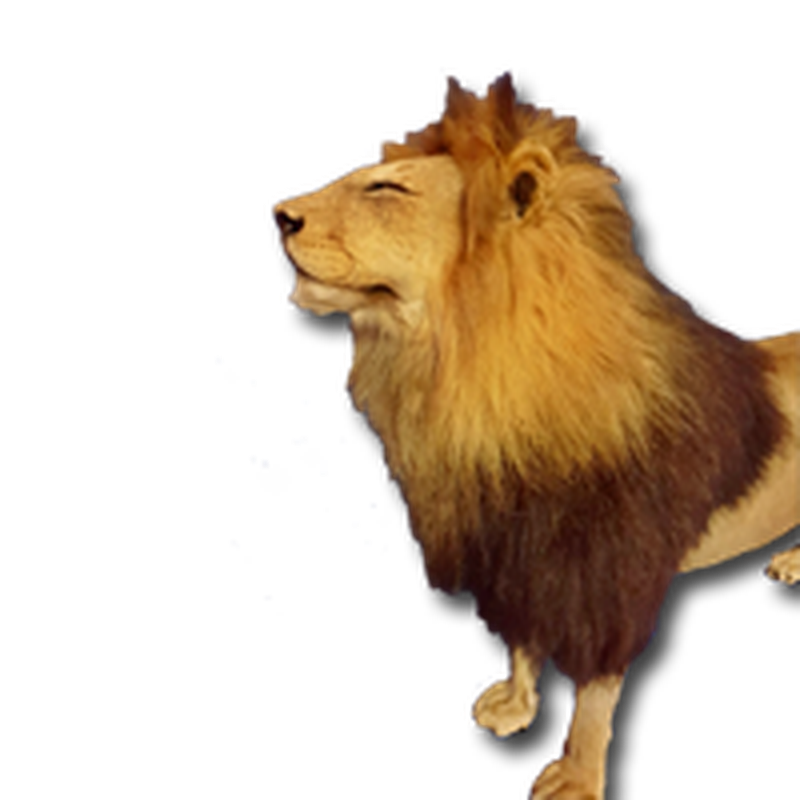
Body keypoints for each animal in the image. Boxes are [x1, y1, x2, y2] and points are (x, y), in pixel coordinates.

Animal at [271, 70, 799, 799]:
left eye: (387, 190)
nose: (276, 214)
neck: (466, 388)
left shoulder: (607, 582)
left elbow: (595, 697)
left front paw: (576, 777)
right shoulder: (514, 551)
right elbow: (522, 643)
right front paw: (515, 704)